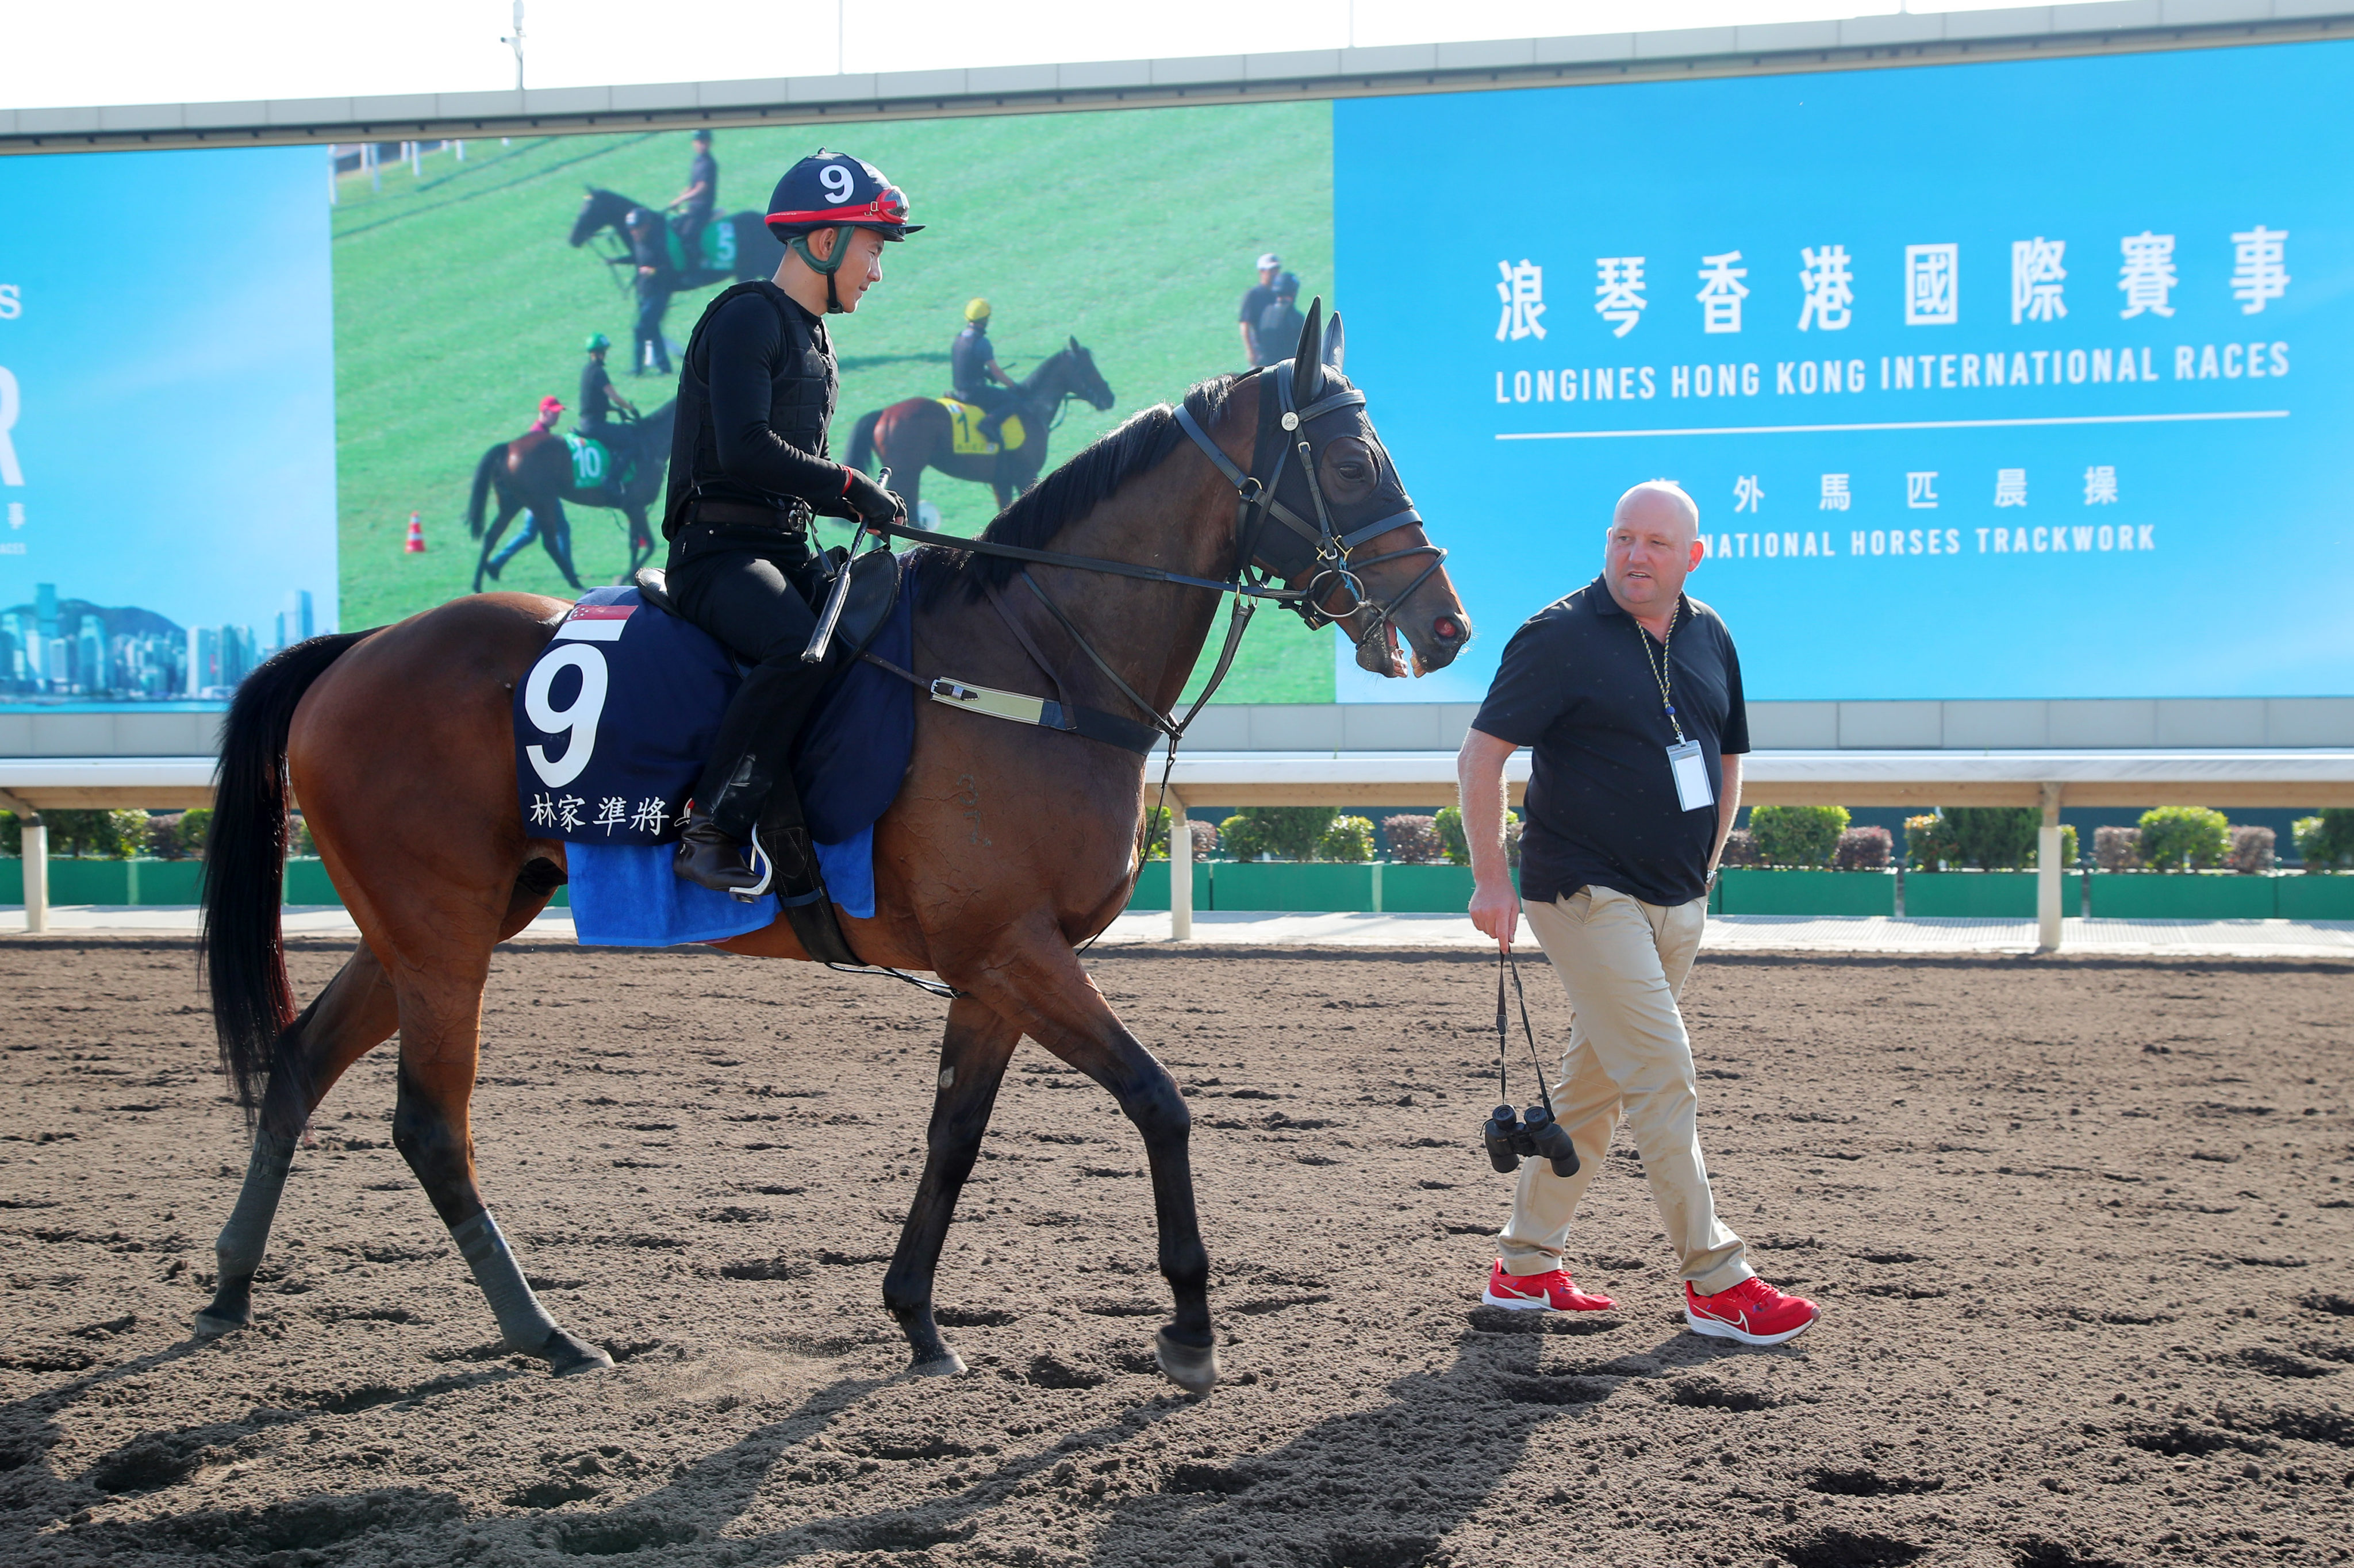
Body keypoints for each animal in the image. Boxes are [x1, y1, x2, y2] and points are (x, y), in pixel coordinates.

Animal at [463, 400, 678, 595]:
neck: (650, 443)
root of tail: (509, 447)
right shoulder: (635, 506)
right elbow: (649, 544)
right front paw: (624, 578)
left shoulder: (632, 508)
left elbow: (635, 545)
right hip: (542, 501)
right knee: (549, 542)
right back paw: (575, 582)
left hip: (513, 502)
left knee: (492, 536)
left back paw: (478, 584)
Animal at [847, 339, 1120, 510]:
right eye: (1088, 367)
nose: (1109, 397)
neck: (1032, 408)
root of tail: (884, 413)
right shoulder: (1025, 474)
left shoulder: (1001, 481)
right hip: (909, 474)